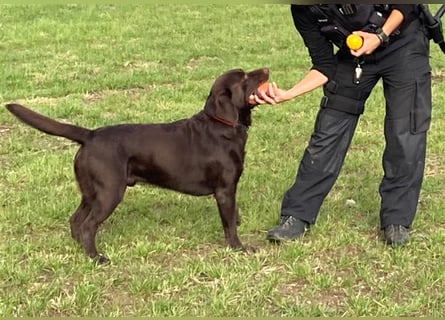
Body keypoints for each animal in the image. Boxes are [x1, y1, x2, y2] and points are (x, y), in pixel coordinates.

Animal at [6, 67, 268, 262]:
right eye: (244, 78)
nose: (266, 69)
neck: (222, 125)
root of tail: (90, 135)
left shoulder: (229, 189)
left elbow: (233, 215)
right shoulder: (224, 189)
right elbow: (229, 224)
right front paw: (239, 248)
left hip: (91, 193)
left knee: (76, 220)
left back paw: (82, 250)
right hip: (110, 192)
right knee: (88, 225)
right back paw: (97, 258)